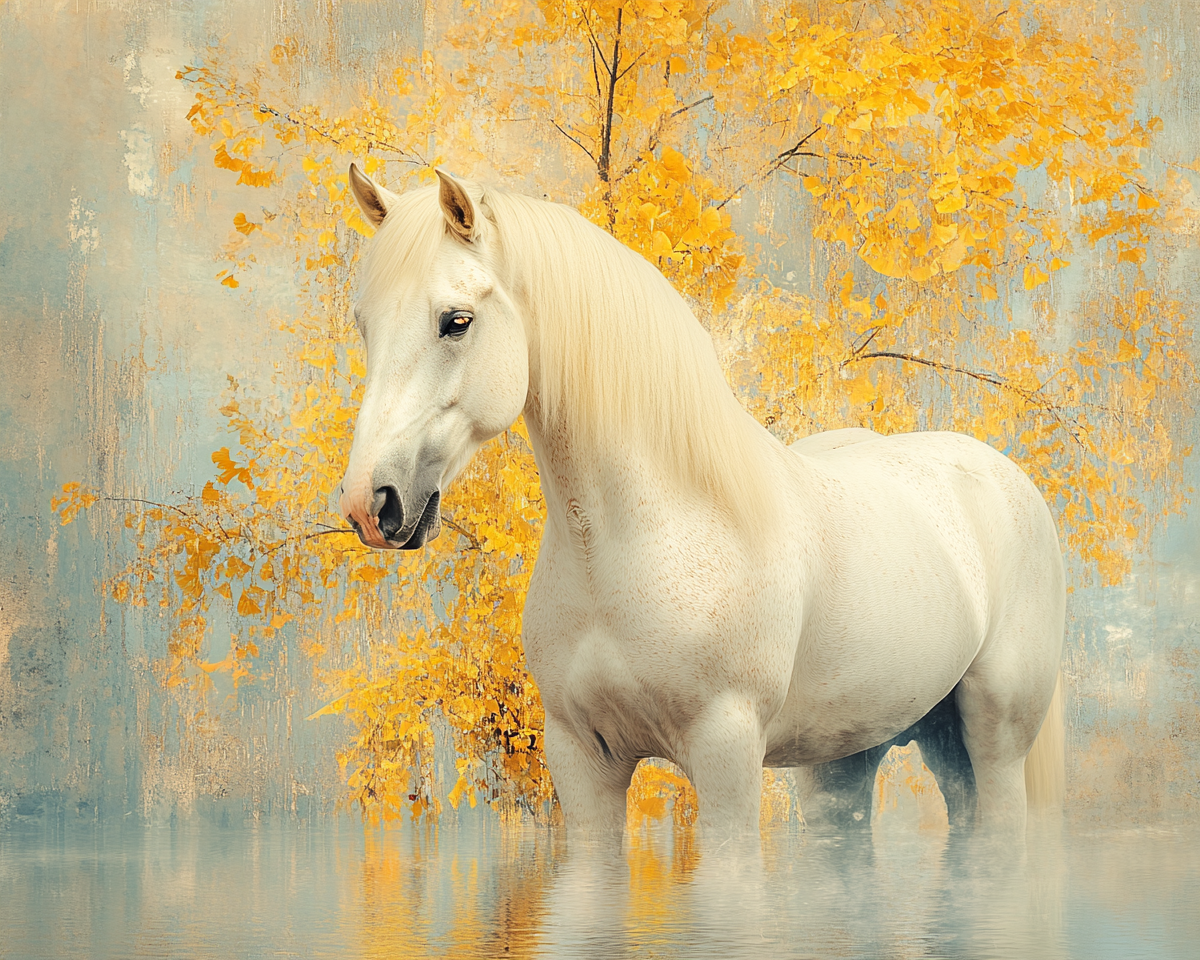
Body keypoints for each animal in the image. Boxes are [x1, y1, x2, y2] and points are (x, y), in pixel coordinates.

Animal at [338, 165, 1070, 840]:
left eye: (456, 322)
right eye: (364, 325)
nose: (371, 504)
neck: (640, 534)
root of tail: (1005, 475)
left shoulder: (725, 760)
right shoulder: (581, 763)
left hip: (995, 740)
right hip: (859, 757)